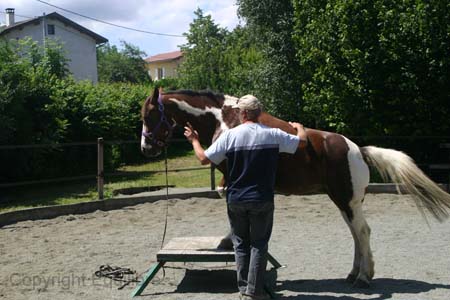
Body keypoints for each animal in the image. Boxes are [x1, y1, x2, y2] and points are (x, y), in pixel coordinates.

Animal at [141, 87, 450, 288]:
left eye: (148, 116)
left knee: (362, 232)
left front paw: (227, 242)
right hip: (343, 201)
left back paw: (364, 278)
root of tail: (358, 150)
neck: (224, 120)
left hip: (347, 201)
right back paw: (353, 274)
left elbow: (231, 207)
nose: (146, 148)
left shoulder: (232, 178)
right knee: (356, 234)